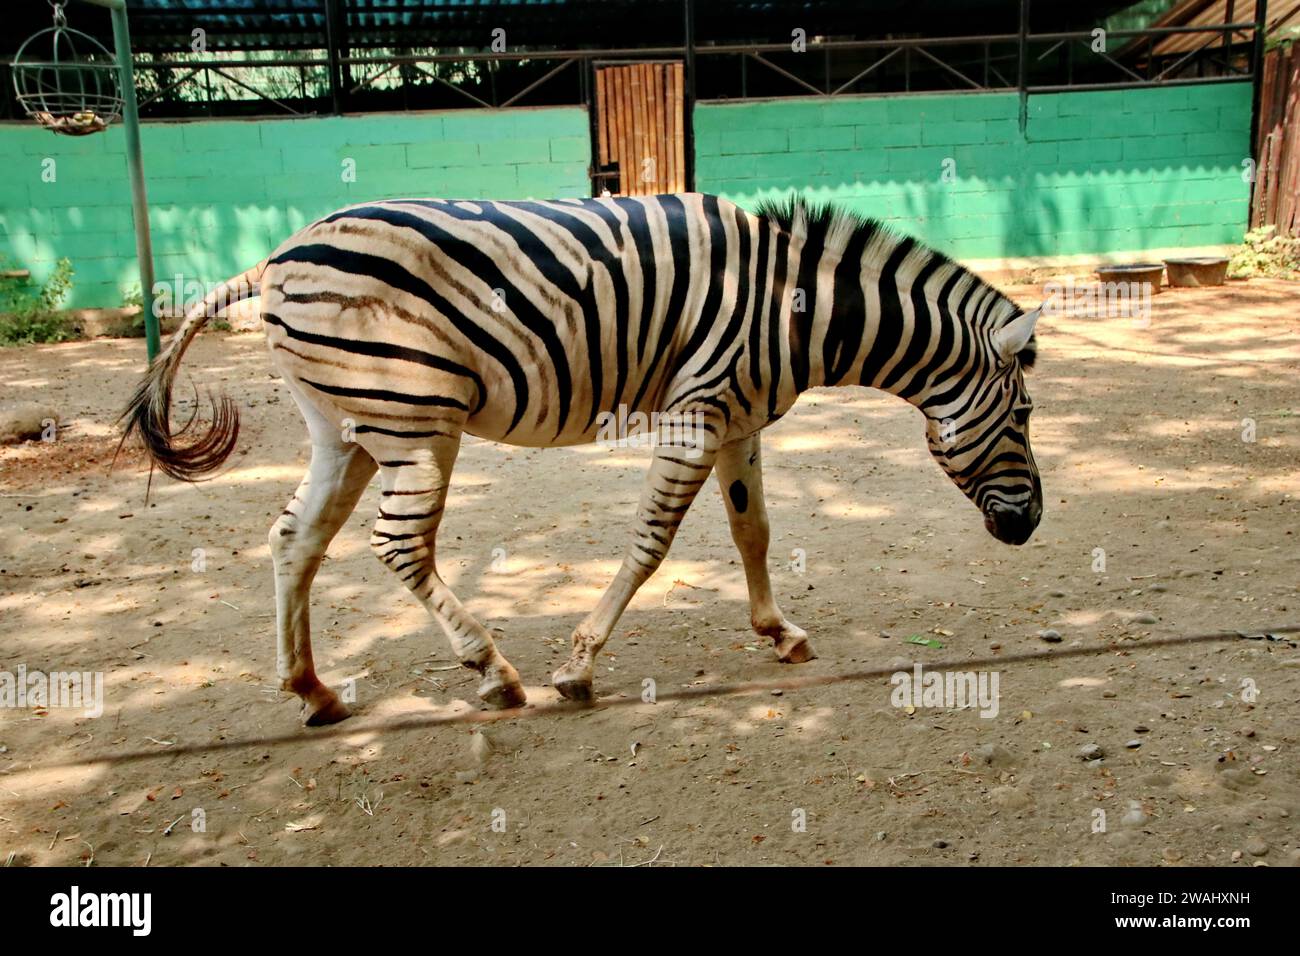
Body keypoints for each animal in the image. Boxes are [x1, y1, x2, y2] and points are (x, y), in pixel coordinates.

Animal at [116, 196, 1040, 723]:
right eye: (1028, 414)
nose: (1030, 528)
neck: (797, 309)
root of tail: (277, 255)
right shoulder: (698, 408)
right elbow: (652, 540)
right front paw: (579, 666)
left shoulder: (738, 419)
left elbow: (755, 531)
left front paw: (780, 632)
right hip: (414, 417)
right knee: (398, 545)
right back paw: (493, 672)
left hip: (343, 425)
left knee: (293, 539)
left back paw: (312, 690)